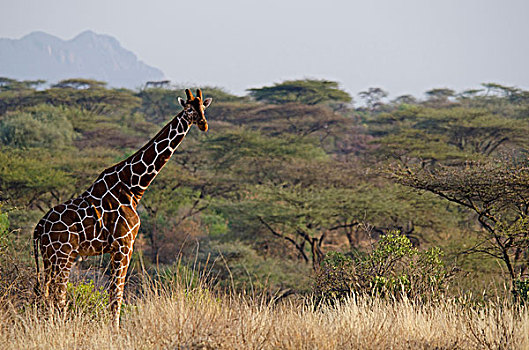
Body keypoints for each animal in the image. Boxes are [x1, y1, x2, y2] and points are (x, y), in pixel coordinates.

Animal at [32, 87, 210, 328]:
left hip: (50, 256)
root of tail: (39, 227)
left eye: (203, 108)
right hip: (62, 254)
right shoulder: (124, 244)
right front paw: (114, 330)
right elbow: (116, 294)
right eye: (189, 109)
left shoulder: (117, 247)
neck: (133, 187)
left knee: (48, 293)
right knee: (57, 294)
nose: (203, 124)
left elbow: (114, 293)